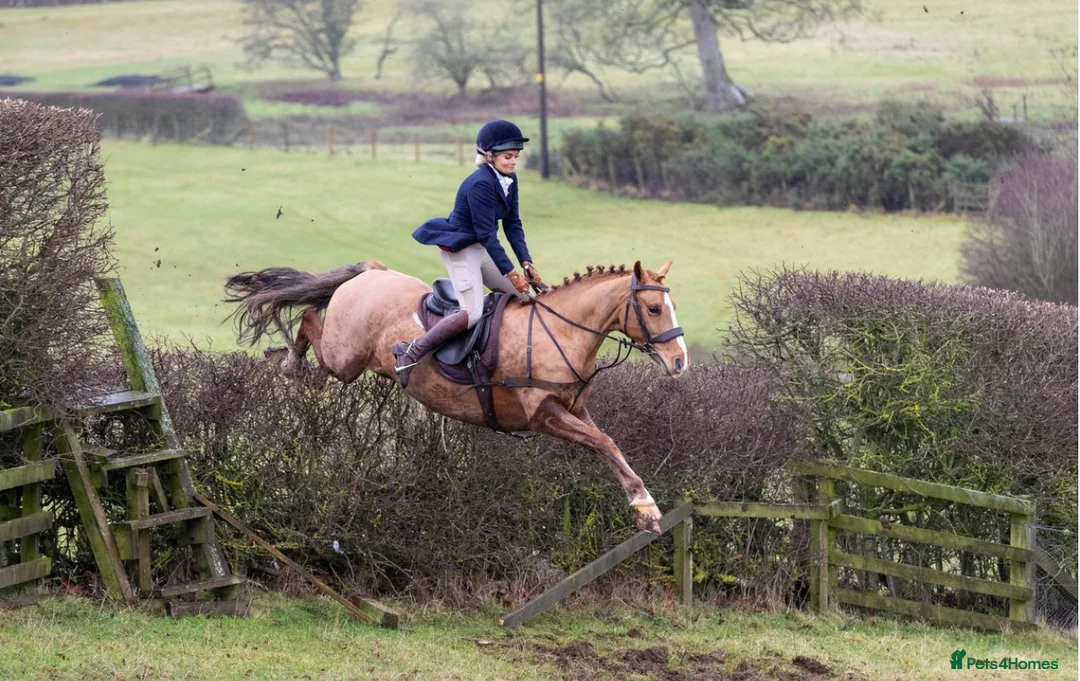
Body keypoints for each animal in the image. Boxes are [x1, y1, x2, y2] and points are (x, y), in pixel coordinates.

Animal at [223, 259, 688, 533]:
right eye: (652, 310)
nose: (680, 362)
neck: (562, 332)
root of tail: (371, 272)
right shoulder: (544, 415)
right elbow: (605, 442)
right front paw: (645, 505)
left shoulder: (575, 408)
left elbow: (607, 444)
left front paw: (642, 504)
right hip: (346, 356)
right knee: (307, 318)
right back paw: (286, 361)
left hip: (348, 360)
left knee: (313, 339)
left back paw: (288, 361)